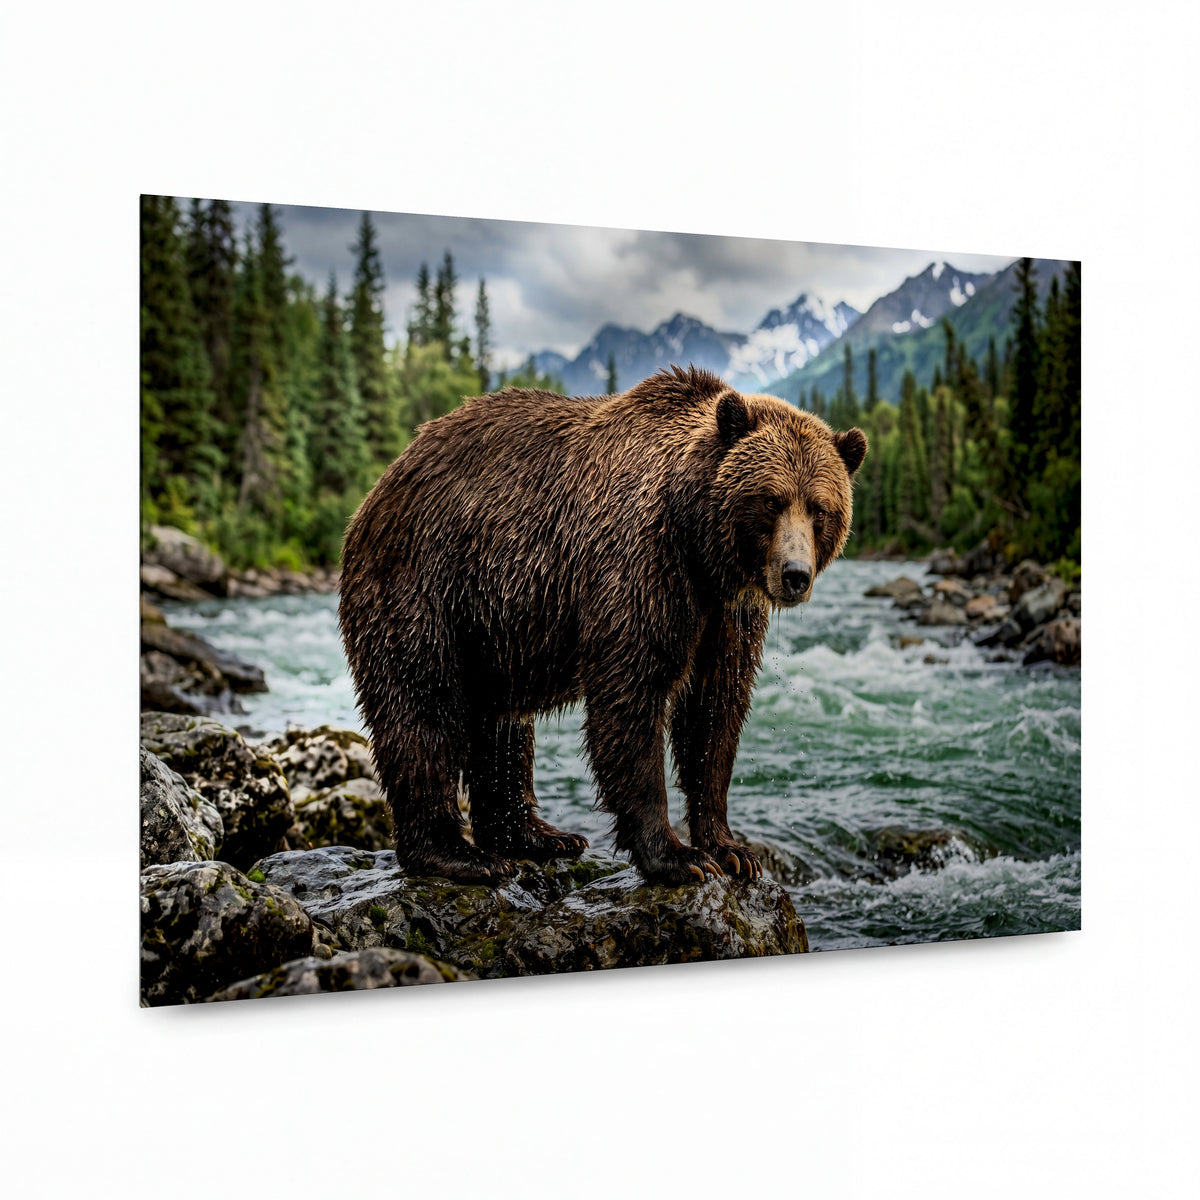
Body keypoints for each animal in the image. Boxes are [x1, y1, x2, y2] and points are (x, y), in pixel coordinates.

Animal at [338, 365, 866, 886]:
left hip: (494, 628)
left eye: (819, 508)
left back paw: (537, 837)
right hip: (426, 584)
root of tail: (379, 488)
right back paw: (458, 855)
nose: (795, 575)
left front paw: (731, 849)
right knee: (422, 705)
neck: (700, 548)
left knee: (501, 726)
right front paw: (677, 857)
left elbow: (714, 710)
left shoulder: (726, 614)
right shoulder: (640, 566)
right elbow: (632, 695)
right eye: (771, 500)